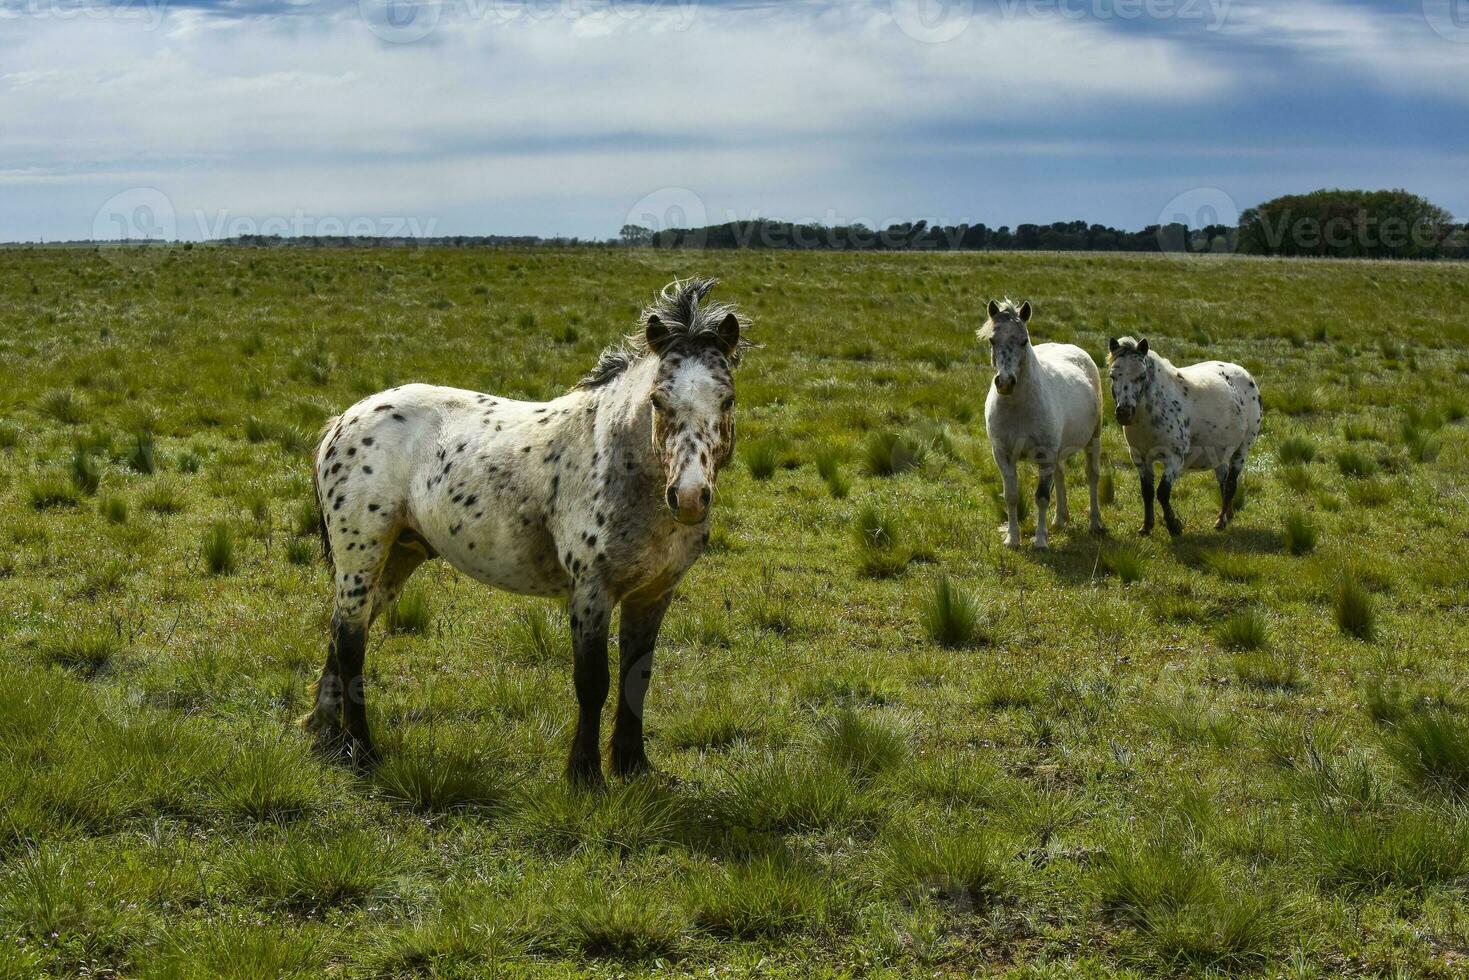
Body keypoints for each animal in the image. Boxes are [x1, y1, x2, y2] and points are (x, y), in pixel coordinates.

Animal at [305, 279, 752, 787]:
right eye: (658, 400)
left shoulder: (654, 593)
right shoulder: (591, 592)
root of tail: (342, 420)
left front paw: (632, 766)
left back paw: (326, 731)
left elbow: (637, 676)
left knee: (345, 630)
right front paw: (585, 776)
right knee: (351, 642)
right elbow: (593, 682)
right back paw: (361, 750)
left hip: (400, 555)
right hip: (361, 553)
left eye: (727, 400)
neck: (624, 467)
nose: (690, 498)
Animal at [981, 299, 1104, 552]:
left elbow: (1042, 497)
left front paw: (1040, 541)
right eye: (992, 340)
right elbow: (1011, 496)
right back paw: (1059, 519)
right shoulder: (1003, 455)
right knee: (1060, 473)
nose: (1005, 382)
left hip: (1093, 440)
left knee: (1092, 477)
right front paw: (1012, 539)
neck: (1018, 408)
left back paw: (1095, 523)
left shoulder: (1045, 455)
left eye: (1023, 340)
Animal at [1110, 337, 1263, 537]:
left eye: (1142, 376)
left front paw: (1174, 526)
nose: (1124, 413)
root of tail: (1245, 374)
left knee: (1230, 484)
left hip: (1241, 450)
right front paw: (1146, 526)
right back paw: (1227, 515)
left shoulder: (1174, 458)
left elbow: (1162, 492)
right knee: (1223, 482)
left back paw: (1221, 522)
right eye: (1113, 376)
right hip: (1220, 453)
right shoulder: (1140, 459)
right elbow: (1147, 492)